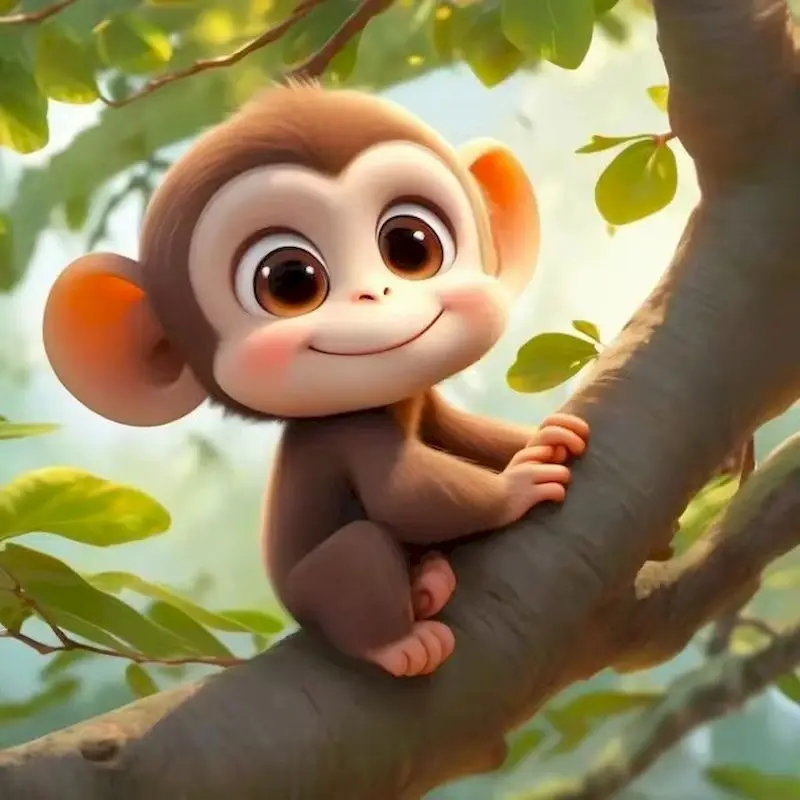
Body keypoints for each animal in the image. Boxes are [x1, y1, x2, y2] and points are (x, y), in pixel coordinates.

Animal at [42, 83, 590, 678]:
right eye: (289, 280)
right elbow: (403, 496)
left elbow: (463, 433)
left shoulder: (425, 402)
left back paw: (427, 586)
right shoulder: (350, 431)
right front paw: (519, 486)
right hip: (317, 590)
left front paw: (547, 436)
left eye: (411, 246)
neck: (390, 404)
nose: (375, 294)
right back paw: (399, 642)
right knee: (359, 548)